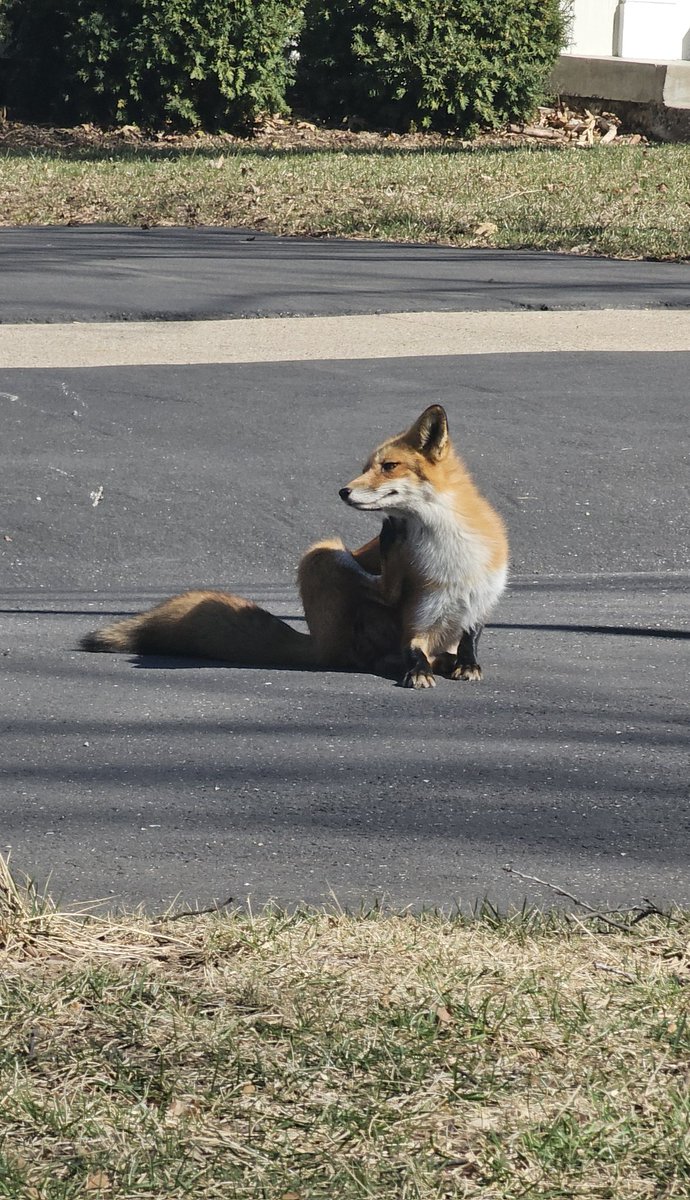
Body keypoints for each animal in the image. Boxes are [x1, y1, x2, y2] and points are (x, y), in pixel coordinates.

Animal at [80, 405, 508, 689]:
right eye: (365, 467)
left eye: (389, 467)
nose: (343, 491)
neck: (448, 548)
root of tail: (317, 646)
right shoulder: (416, 613)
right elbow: (412, 645)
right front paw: (416, 671)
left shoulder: (481, 600)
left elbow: (469, 639)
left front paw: (466, 663)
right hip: (323, 553)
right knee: (366, 636)